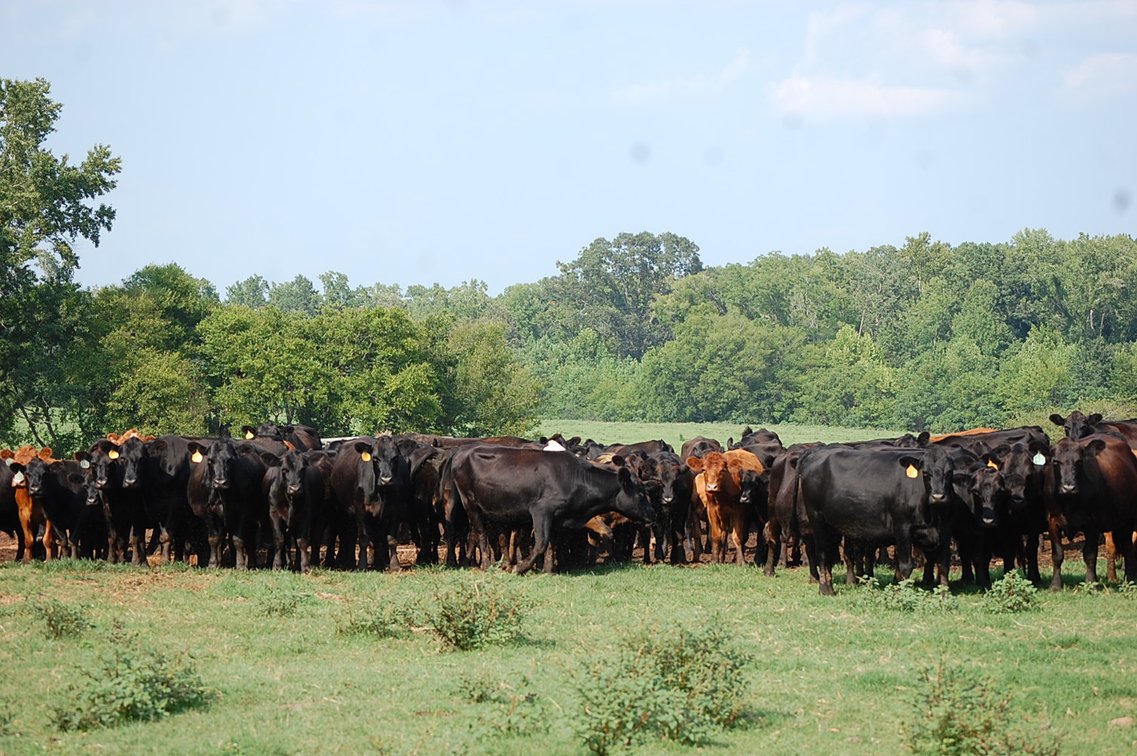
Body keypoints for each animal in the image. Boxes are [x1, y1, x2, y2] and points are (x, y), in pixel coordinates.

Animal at [446, 445, 658, 574]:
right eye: (641, 494)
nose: (652, 514)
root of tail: (461, 452)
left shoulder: (557, 518)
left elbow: (551, 545)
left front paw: (548, 570)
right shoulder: (541, 512)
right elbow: (541, 543)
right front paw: (520, 568)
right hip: (470, 504)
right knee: (480, 533)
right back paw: (487, 564)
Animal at [1045, 434, 1137, 590]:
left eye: (1079, 462)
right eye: (1055, 461)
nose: (1068, 487)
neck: (1069, 502)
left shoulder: (1093, 523)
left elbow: (1089, 554)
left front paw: (1091, 583)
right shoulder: (1052, 521)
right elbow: (1057, 554)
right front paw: (1055, 585)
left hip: (1128, 520)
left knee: (1128, 548)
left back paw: (1130, 580)